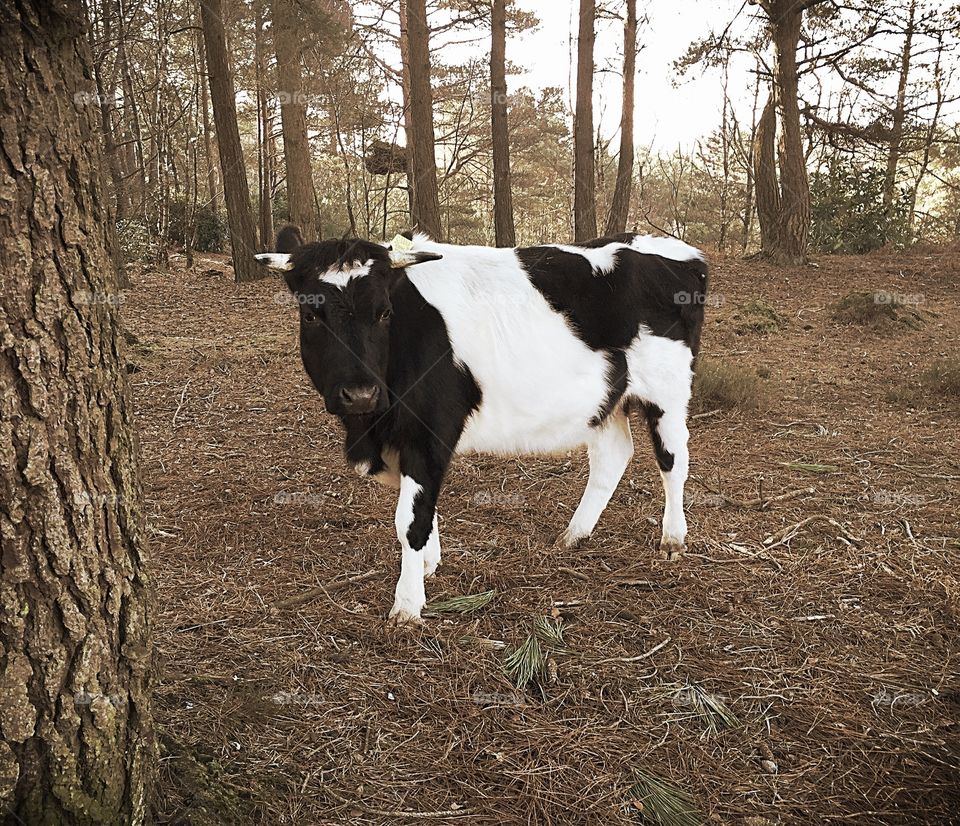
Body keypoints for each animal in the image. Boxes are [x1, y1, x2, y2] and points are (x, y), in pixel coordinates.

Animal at [256, 227, 708, 625]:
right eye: (311, 314)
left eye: (383, 313)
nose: (360, 394)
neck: (371, 426)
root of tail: (674, 249)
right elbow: (424, 505)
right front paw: (428, 564)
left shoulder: (428, 430)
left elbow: (410, 520)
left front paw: (408, 604)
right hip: (607, 398)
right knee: (613, 456)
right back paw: (574, 534)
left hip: (667, 389)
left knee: (673, 461)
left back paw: (672, 538)